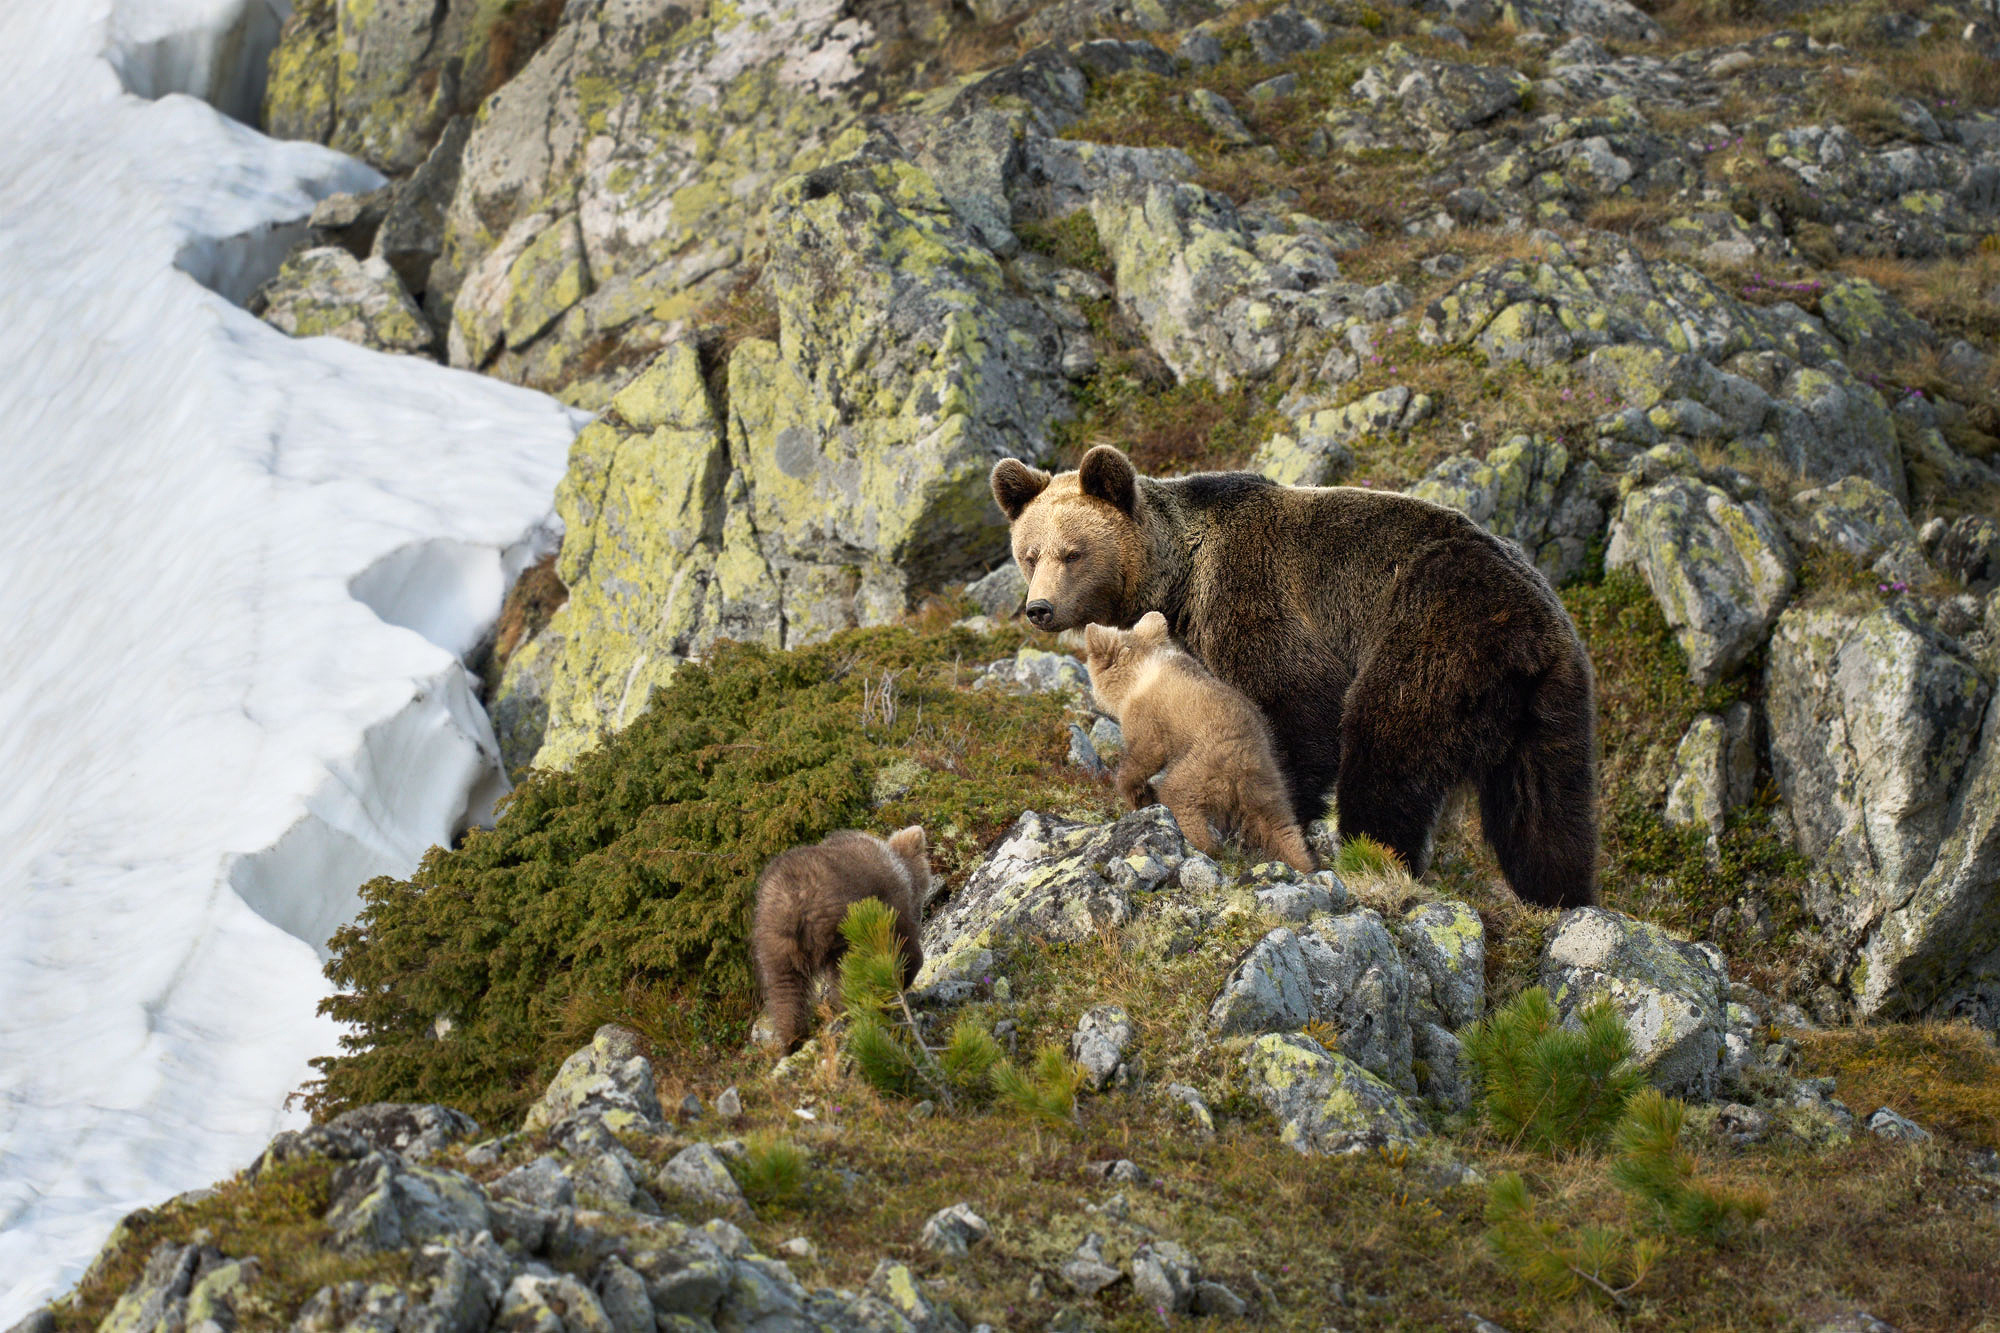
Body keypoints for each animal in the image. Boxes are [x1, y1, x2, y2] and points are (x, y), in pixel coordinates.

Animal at [752, 820, 932, 1048]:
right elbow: (902, 939)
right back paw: (854, 1008)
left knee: (786, 995)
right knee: (844, 971)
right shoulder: (890, 899)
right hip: (837, 926)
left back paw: (793, 1040)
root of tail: (793, 903)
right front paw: (904, 975)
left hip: (774, 945)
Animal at [1088, 612, 1320, 872]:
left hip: (1199, 769)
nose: (1093, 697)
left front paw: (1137, 795)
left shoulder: (1148, 717)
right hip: (1270, 782)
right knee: (1282, 826)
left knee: (1181, 798)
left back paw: (1200, 843)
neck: (1136, 676)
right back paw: (1306, 863)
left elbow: (1145, 753)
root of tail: (1243, 765)